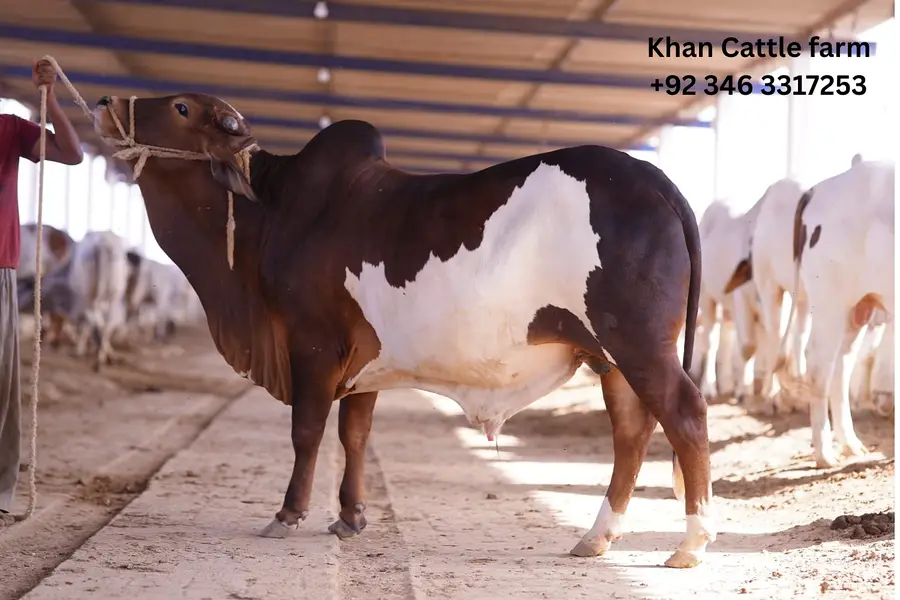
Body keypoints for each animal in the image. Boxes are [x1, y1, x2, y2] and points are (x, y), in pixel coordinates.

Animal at [67, 230, 131, 371]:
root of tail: (102, 243)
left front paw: (80, 348)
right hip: (113, 294)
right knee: (104, 324)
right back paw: (102, 357)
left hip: (91, 293)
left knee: (98, 323)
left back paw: (99, 357)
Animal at [92, 92, 714, 568]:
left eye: (180, 106)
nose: (103, 103)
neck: (272, 210)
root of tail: (654, 178)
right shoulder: (362, 363)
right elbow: (355, 435)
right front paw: (350, 517)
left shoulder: (312, 344)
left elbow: (307, 432)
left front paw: (288, 514)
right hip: (611, 356)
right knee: (632, 432)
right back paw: (596, 538)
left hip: (639, 345)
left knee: (684, 414)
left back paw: (690, 544)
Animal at [773, 160, 894, 468]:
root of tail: (817, 189)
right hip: (830, 302)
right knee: (819, 367)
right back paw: (825, 455)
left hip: (858, 307)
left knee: (841, 366)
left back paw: (851, 445)